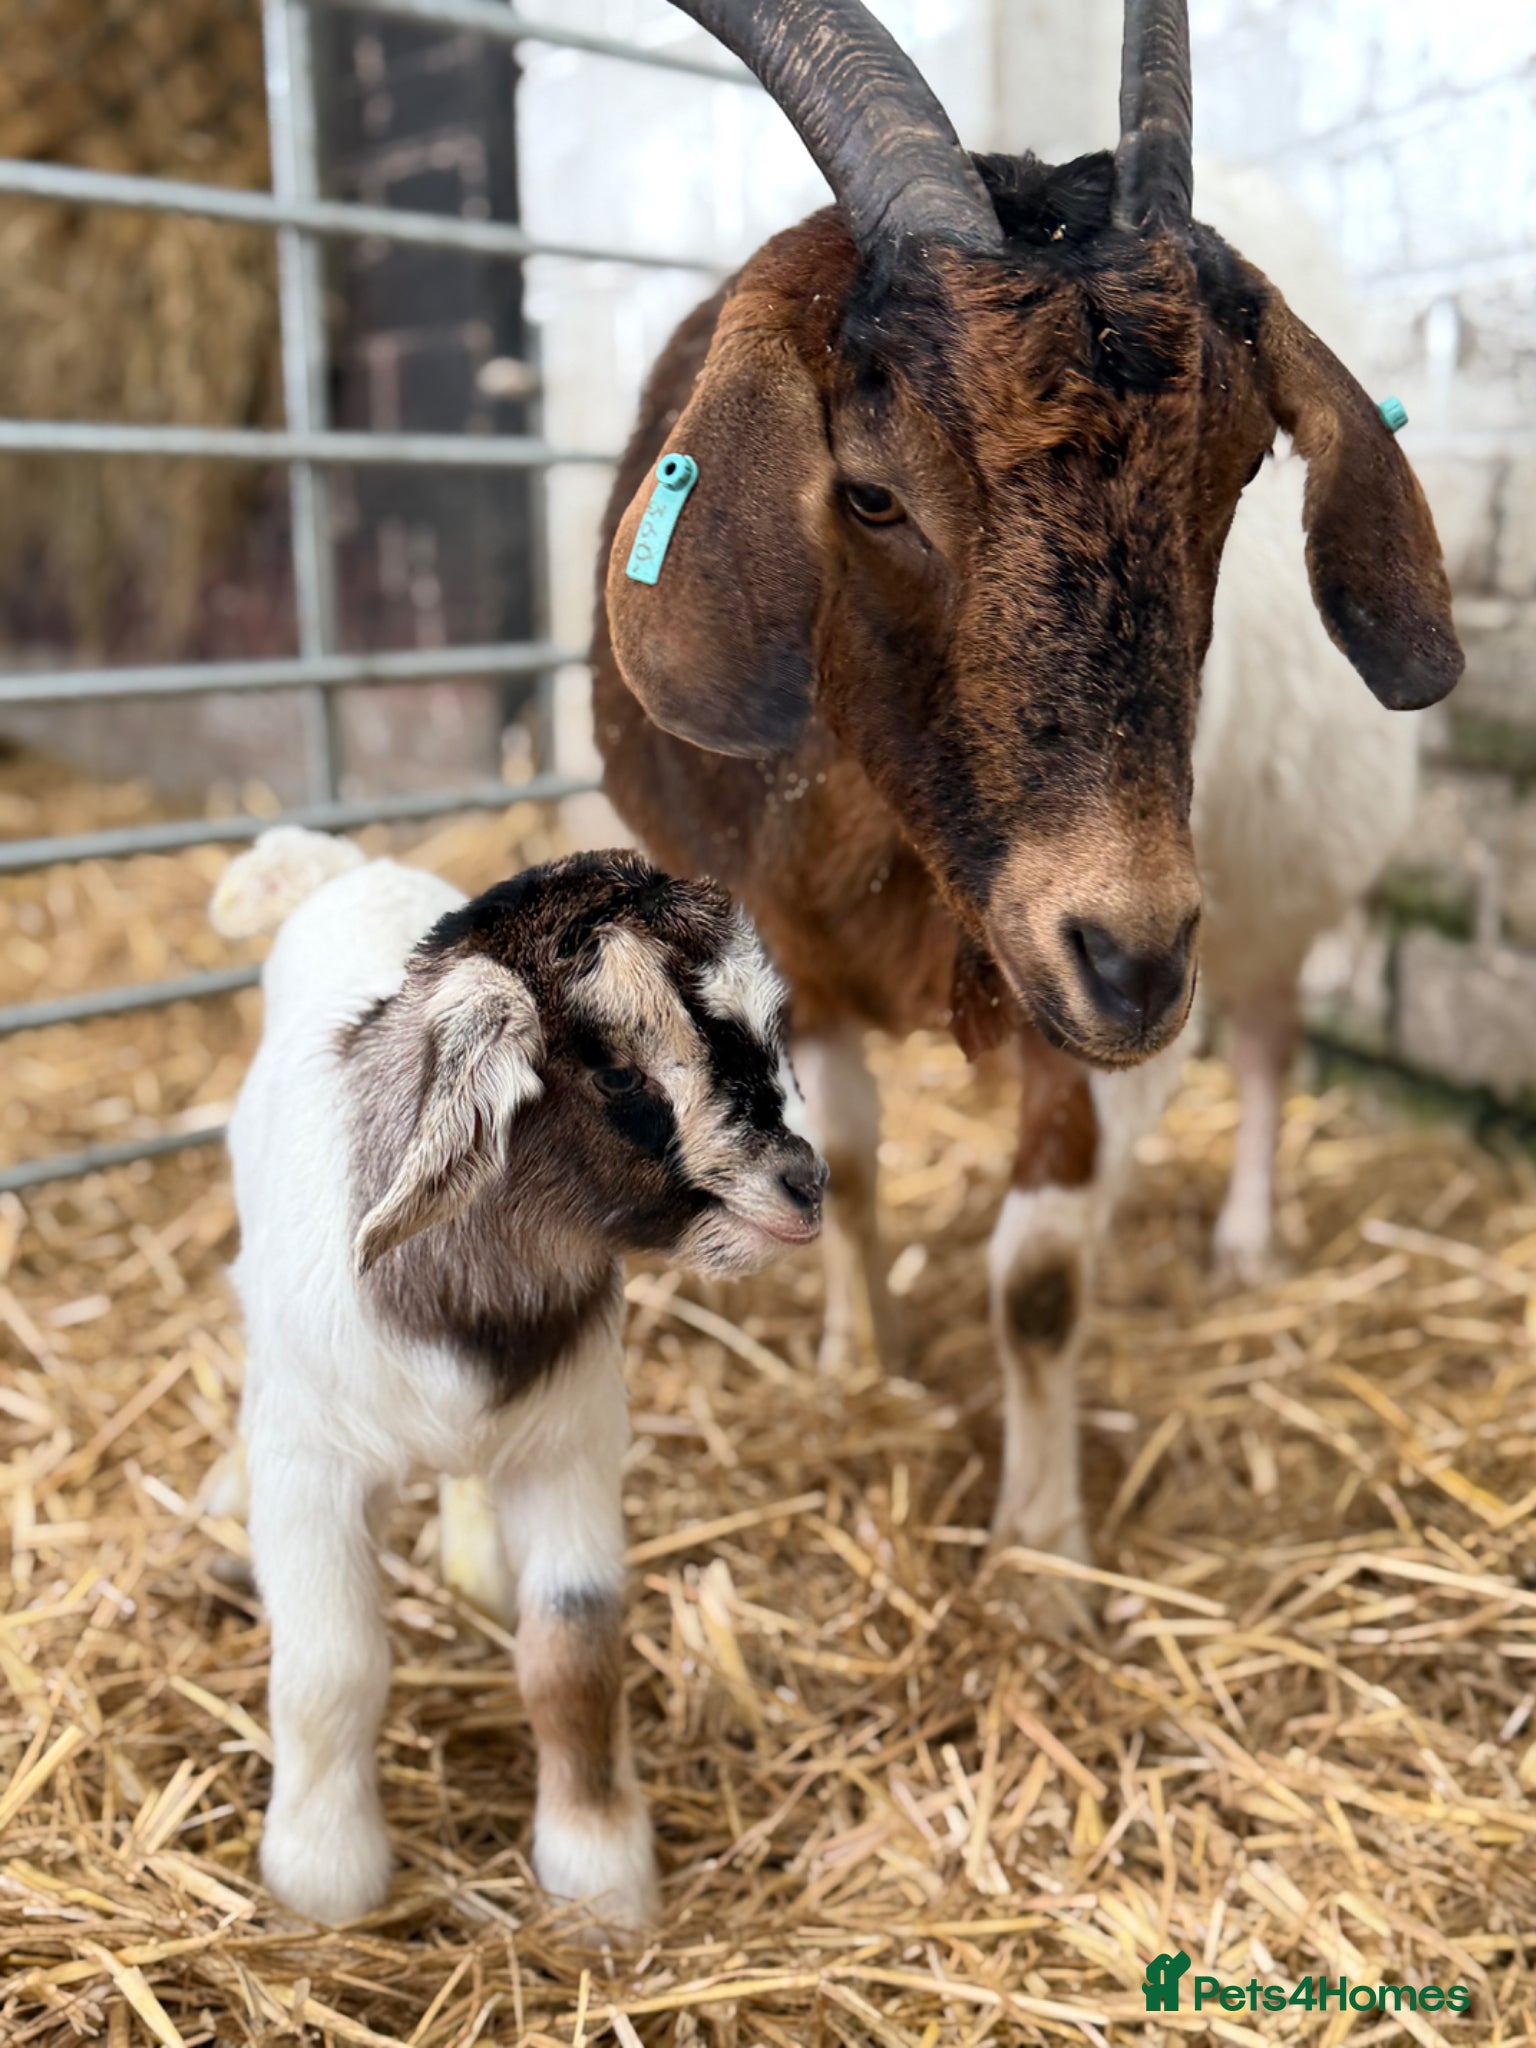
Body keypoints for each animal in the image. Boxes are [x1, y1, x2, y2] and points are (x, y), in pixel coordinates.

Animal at [208, 826, 824, 1930]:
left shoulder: (566, 1450)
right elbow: (332, 1661)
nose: (806, 1187)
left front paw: (599, 1872)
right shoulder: (312, 1470)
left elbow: (574, 1654)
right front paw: (323, 1874)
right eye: (620, 1072)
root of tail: (344, 868)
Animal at [583, 0, 1460, 1561]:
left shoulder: (1107, 992)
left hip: (1274, 894)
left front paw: (1043, 1546)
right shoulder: (787, 938)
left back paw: (1244, 1239)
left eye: (1237, 475)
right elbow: (847, 1160)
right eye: (870, 490)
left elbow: (1040, 1270)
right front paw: (853, 1365)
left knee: (1263, 1041)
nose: (1132, 956)